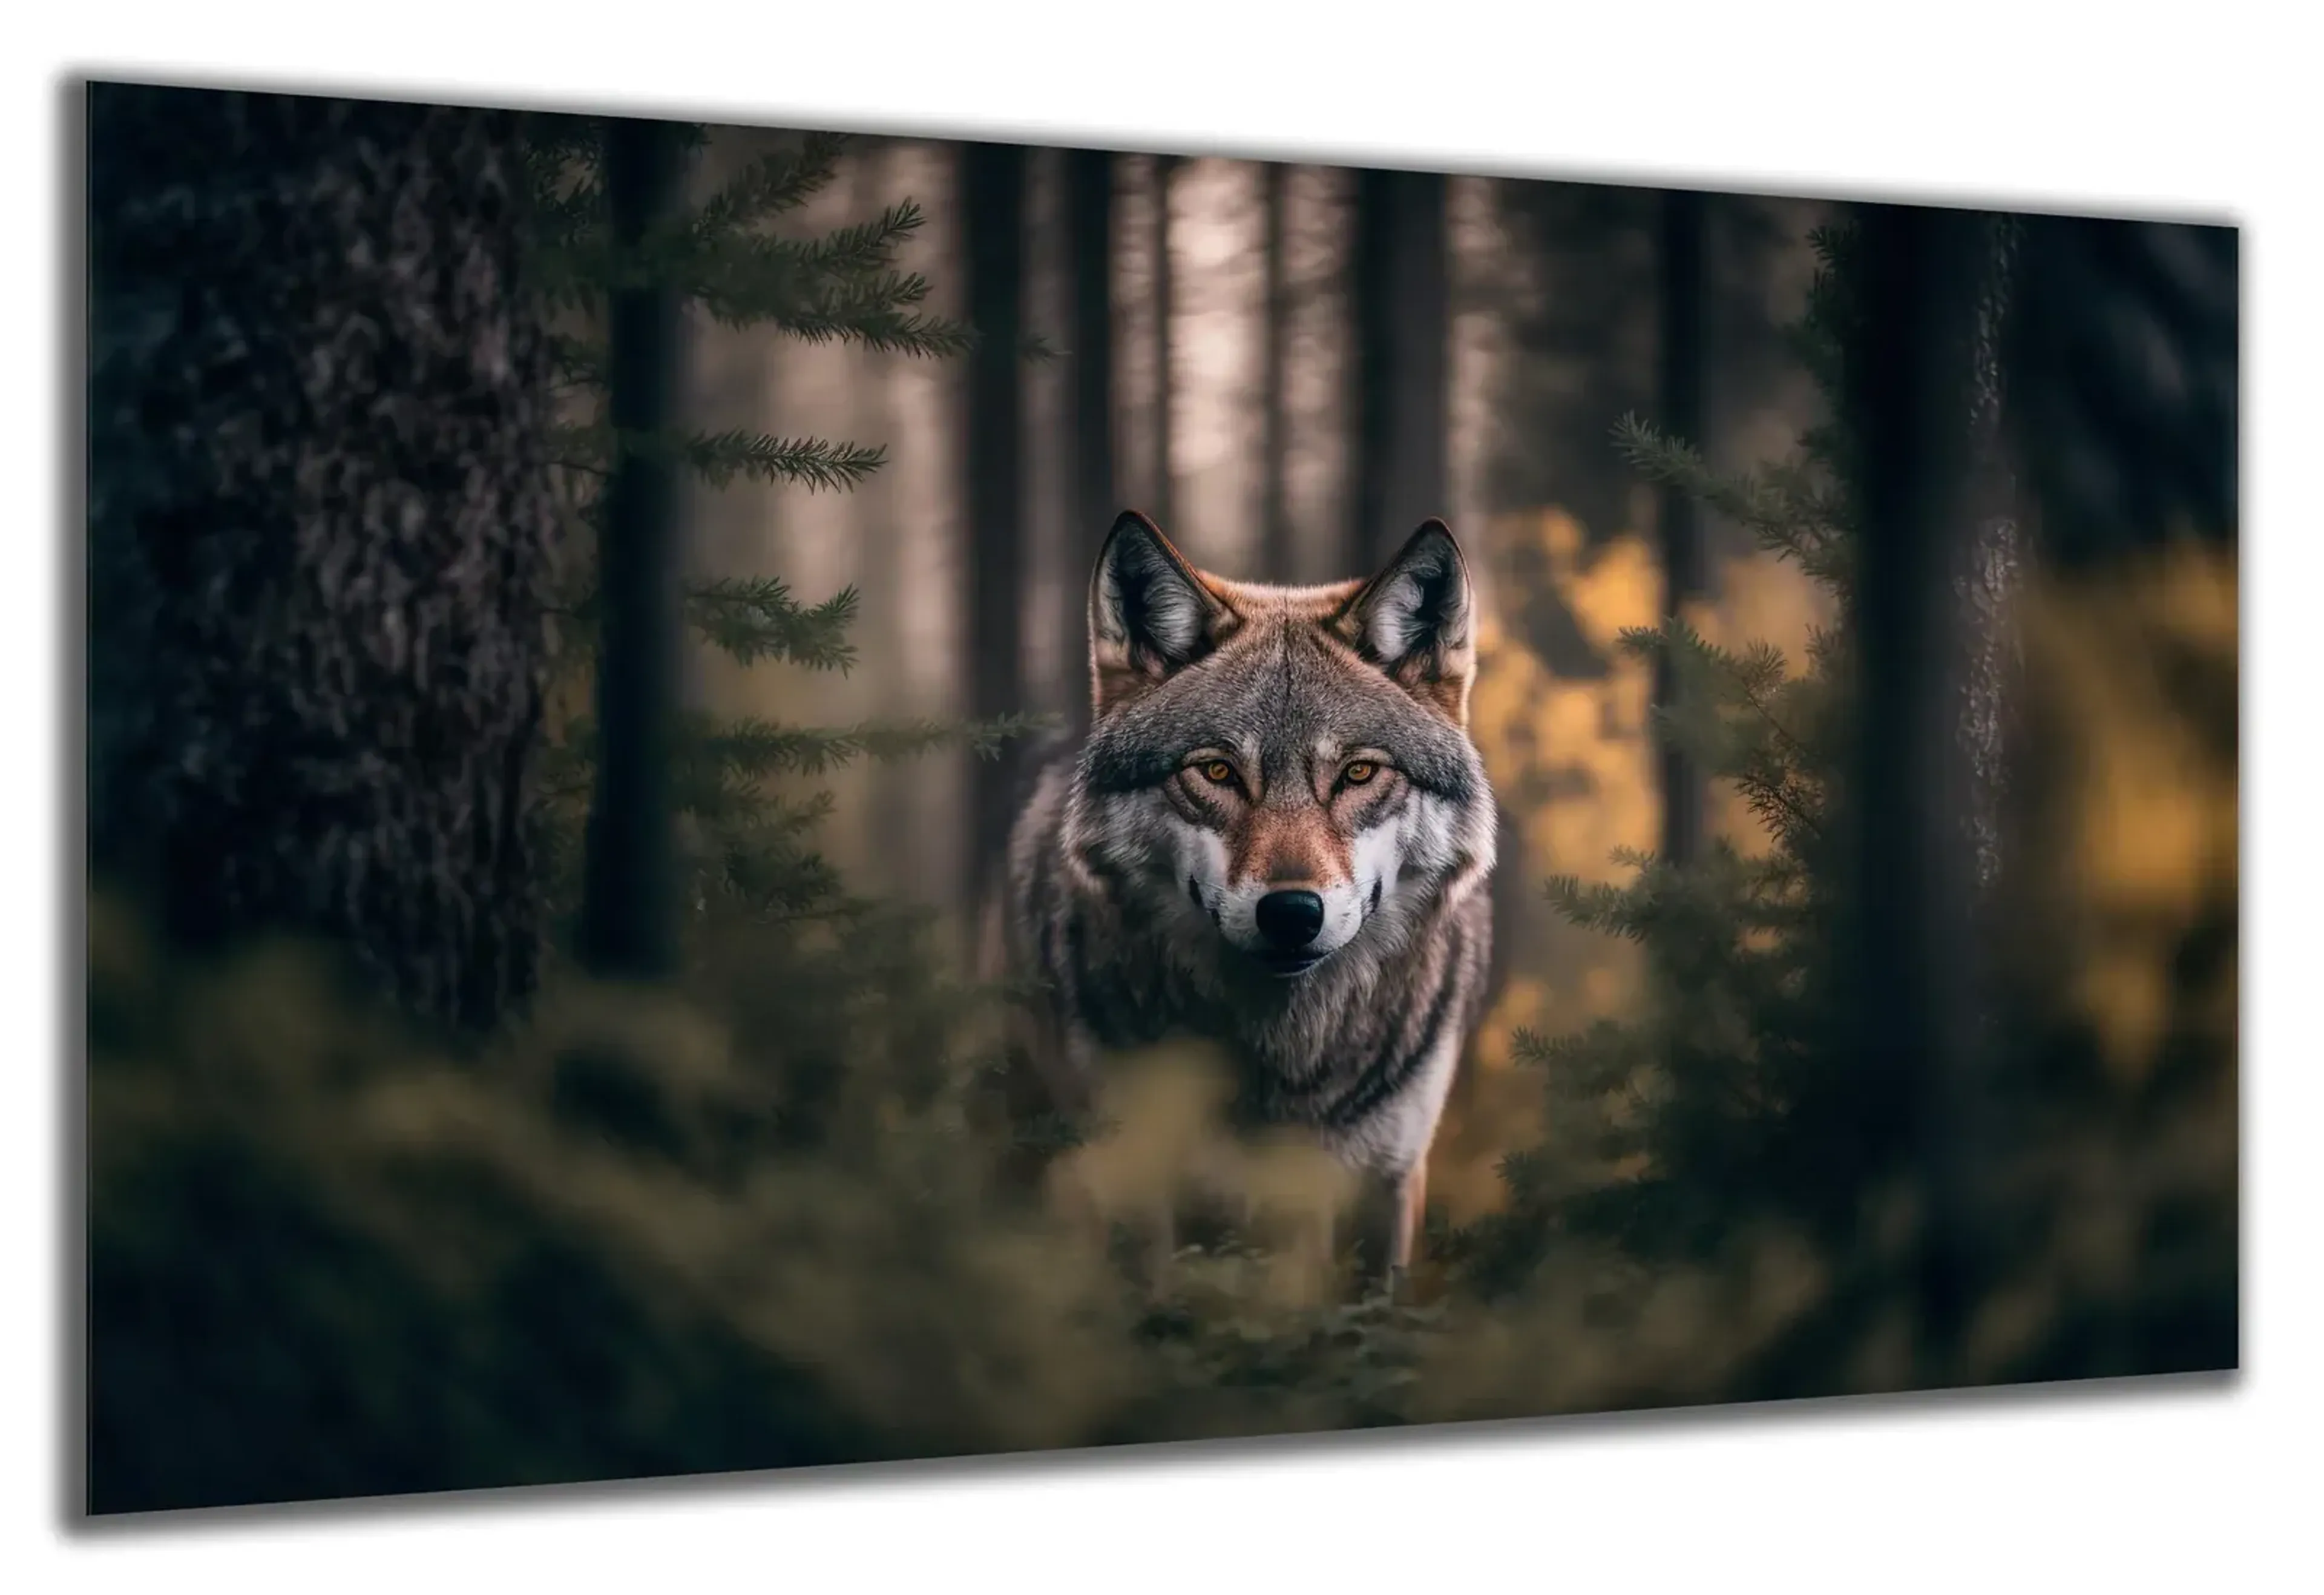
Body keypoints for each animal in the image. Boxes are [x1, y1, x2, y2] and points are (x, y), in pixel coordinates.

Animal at [987, 509, 1498, 1292]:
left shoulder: (1388, 1183)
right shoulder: (1142, 1191)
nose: (1292, 913)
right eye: (1218, 772)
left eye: (1358, 773)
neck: (1281, 1059)